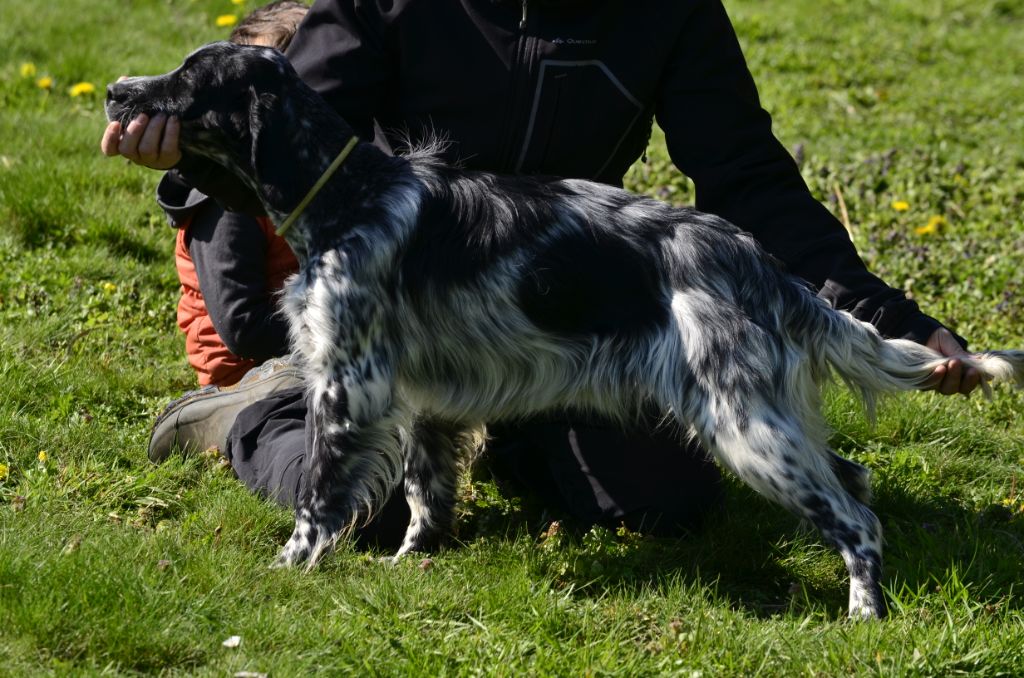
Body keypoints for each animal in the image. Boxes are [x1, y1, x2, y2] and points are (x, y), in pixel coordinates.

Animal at [108, 41, 1019, 614]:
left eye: (188, 80)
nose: (118, 91)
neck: (346, 197)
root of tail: (761, 262)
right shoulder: (425, 400)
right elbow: (424, 493)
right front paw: (414, 562)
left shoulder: (351, 385)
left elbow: (320, 500)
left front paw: (289, 572)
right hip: (768, 418)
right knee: (856, 482)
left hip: (745, 425)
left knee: (856, 520)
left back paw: (864, 617)